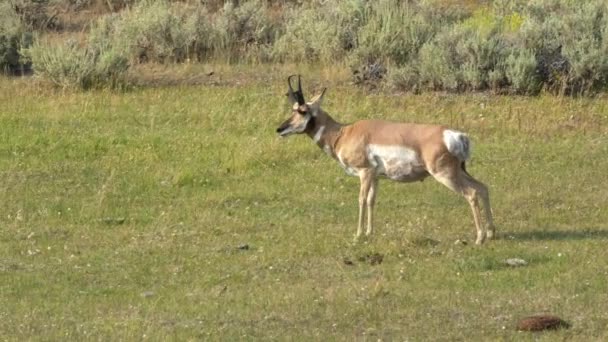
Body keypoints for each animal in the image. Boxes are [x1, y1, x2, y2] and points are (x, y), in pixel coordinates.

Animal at [278, 76, 496, 244]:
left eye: (302, 111)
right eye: (292, 109)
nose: (279, 129)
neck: (343, 133)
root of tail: (454, 134)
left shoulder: (365, 172)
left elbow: (361, 199)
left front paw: (358, 234)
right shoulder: (375, 177)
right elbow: (372, 200)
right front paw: (369, 232)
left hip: (445, 175)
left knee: (471, 194)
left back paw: (479, 238)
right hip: (459, 171)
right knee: (483, 187)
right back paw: (491, 233)